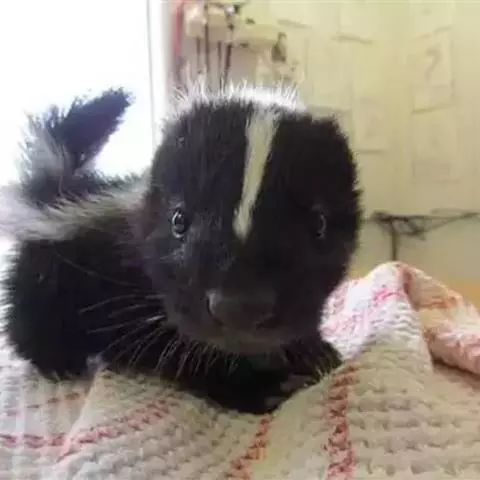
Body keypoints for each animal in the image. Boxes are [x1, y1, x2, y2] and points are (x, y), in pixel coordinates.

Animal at [0, 84, 362, 414]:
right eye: (179, 221)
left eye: (318, 225)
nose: (239, 307)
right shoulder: (136, 299)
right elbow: (178, 347)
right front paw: (259, 386)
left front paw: (313, 351)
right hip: (46, 276)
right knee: (30, 319)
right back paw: (58, 364)